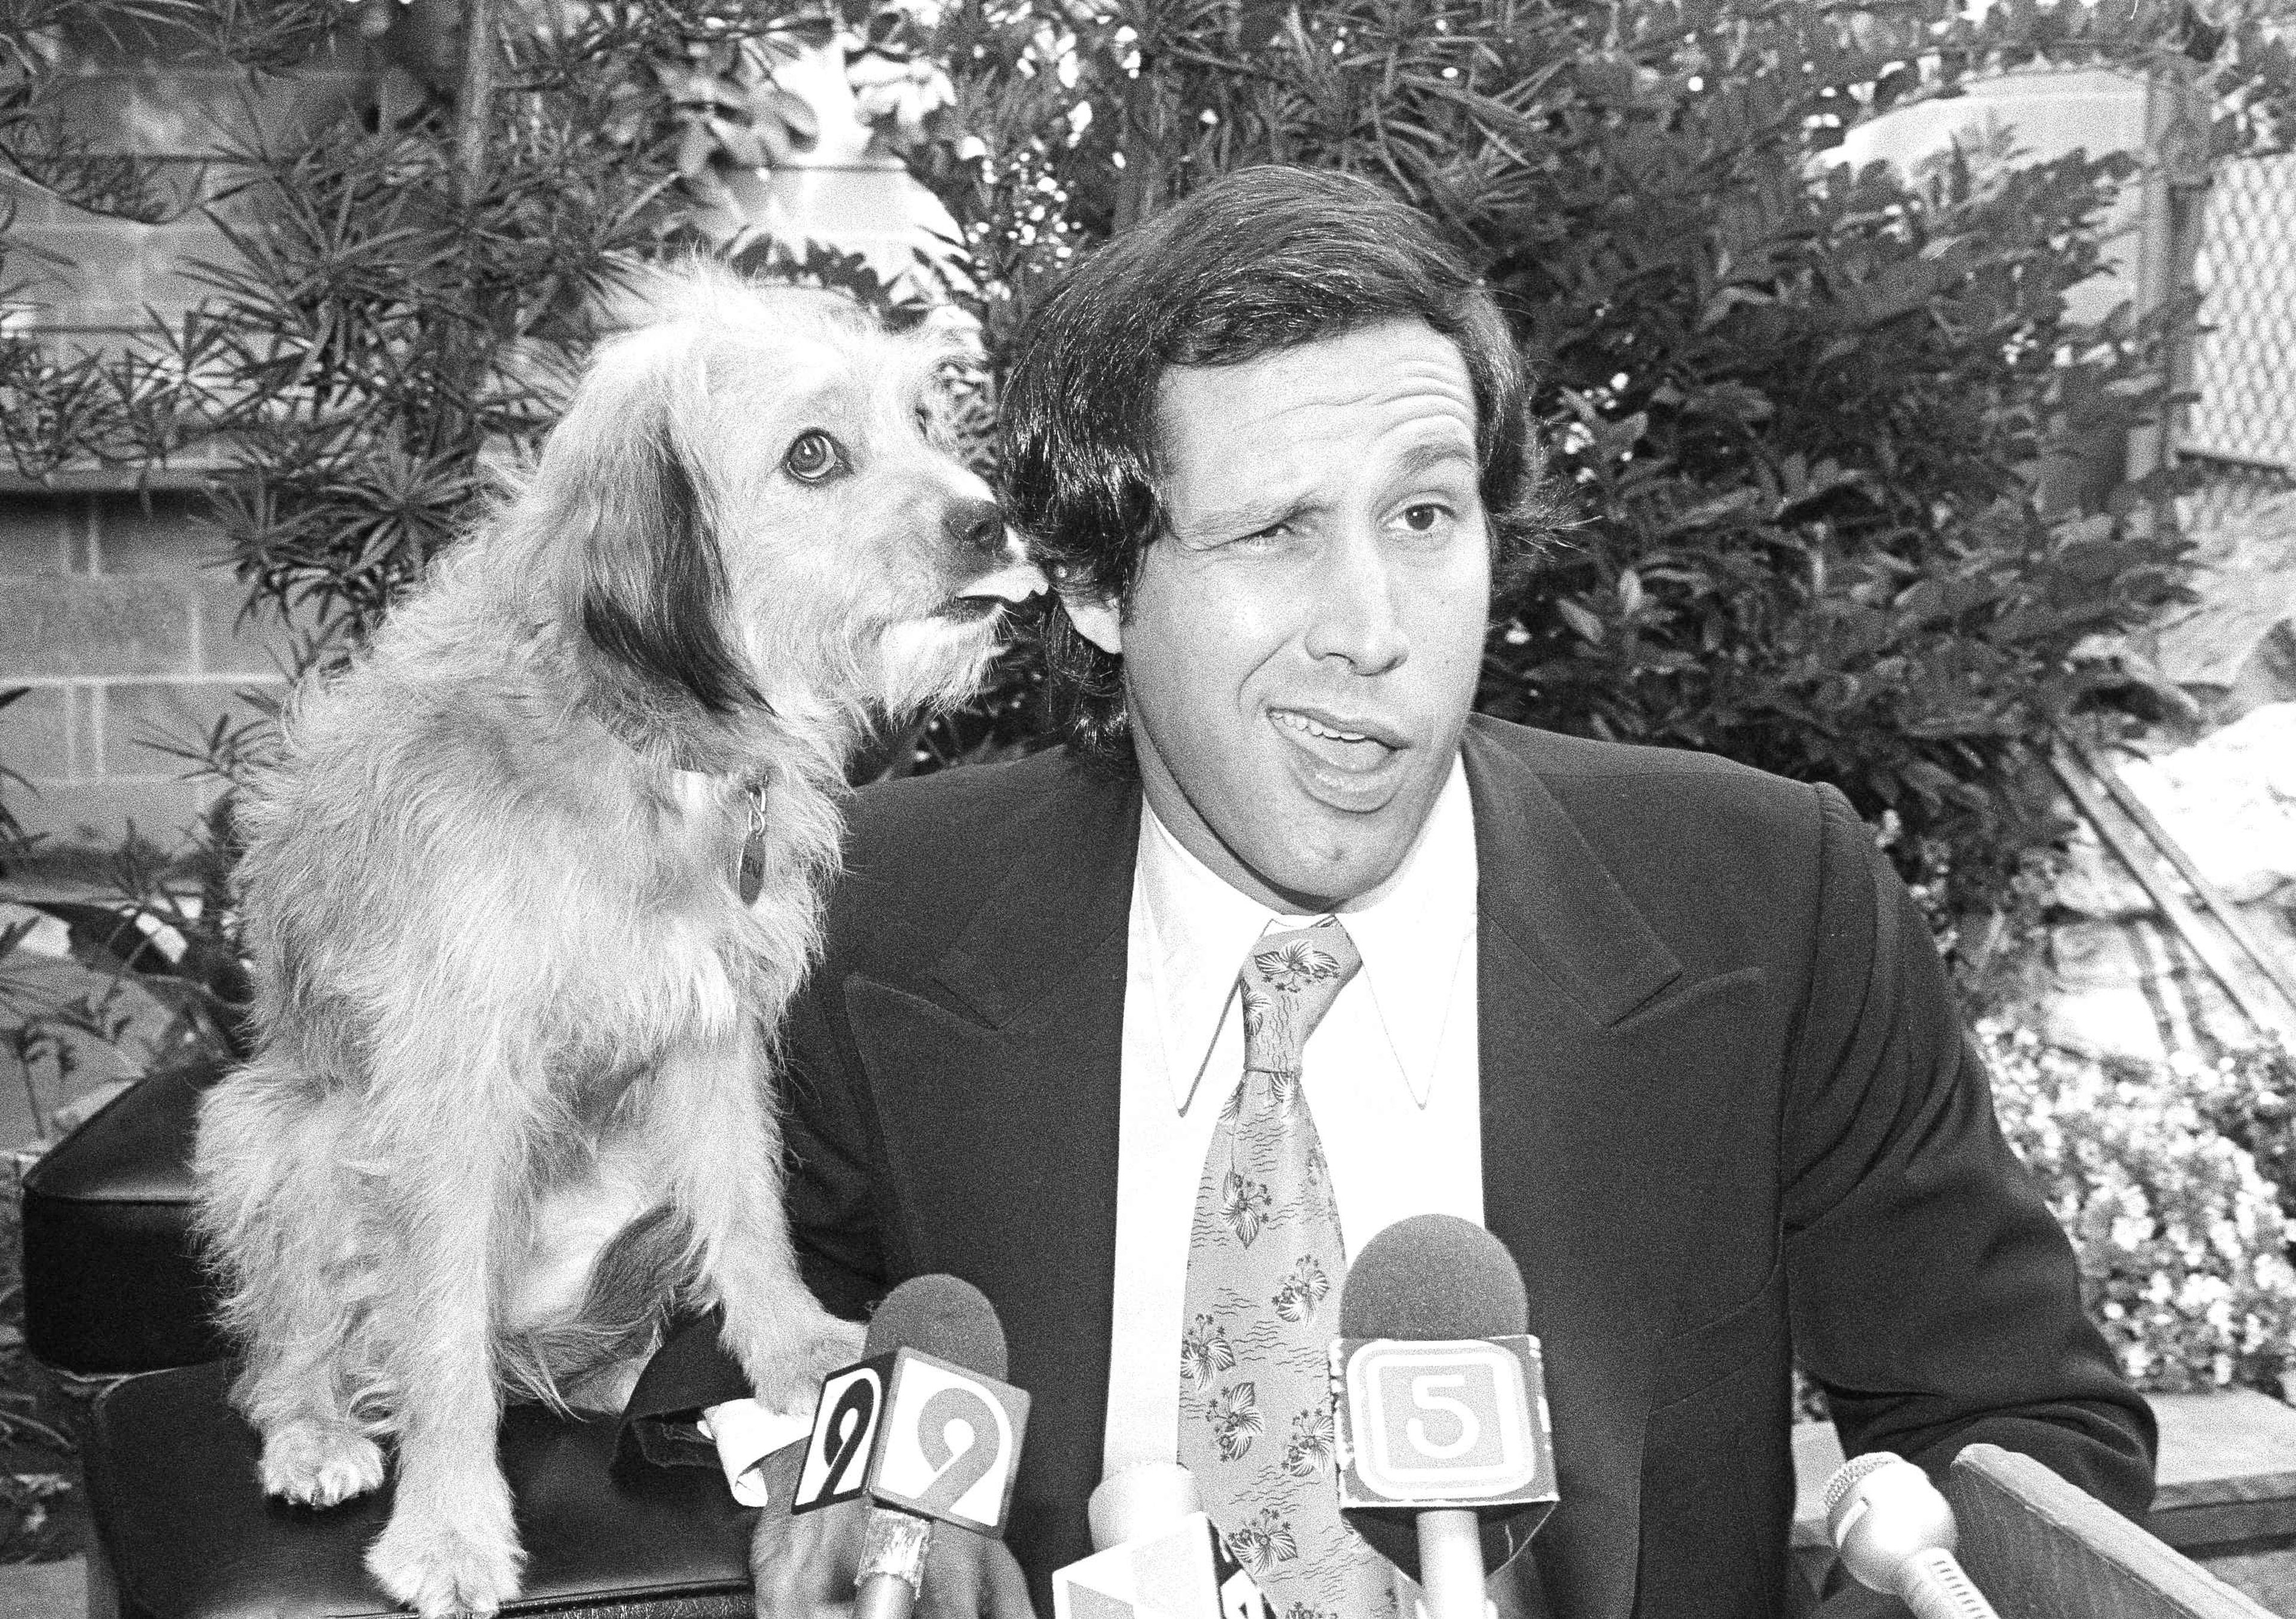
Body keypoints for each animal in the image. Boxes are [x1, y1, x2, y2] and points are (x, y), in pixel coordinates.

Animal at [193, 271, 1047, 1607]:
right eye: (813, 453)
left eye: (923, 420)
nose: (995, 520)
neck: (647, 741)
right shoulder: (453, 1088)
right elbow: (437, 1334)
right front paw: (450, 1528)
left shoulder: (715, 1031)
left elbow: (750, 1210)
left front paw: (798, 1353)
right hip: (284, 1139)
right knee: (291, 1342)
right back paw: (315, 1429)